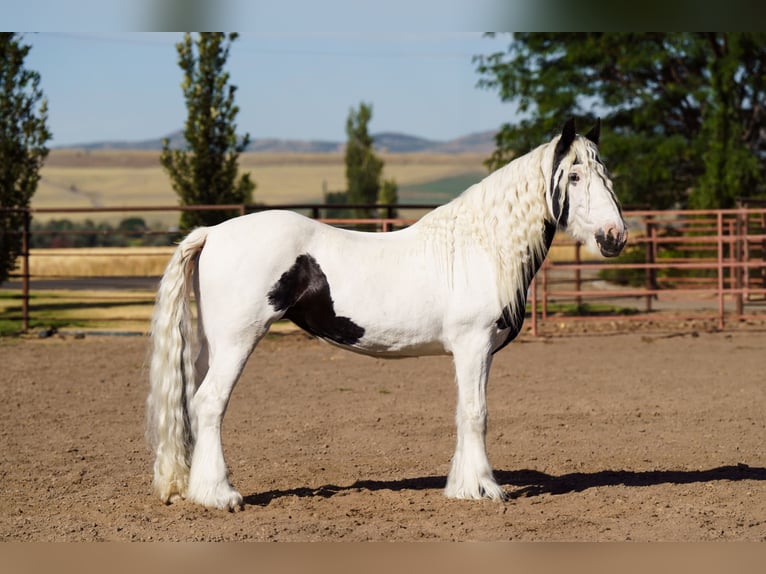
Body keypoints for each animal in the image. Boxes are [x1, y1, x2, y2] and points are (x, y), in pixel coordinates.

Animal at [146, 118, 628, 510]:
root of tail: (212, 232)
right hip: (237, 340)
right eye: (575, 175)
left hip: (212, 346)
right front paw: (485, 489)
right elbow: (477, 413)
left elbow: (464, 411)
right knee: (210, 403)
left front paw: (462, 486)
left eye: (605, 174)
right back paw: (220, 495)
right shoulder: (472, 346)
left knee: (195, 402)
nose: (615, 236)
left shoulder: (477, 353)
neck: (480, 248)